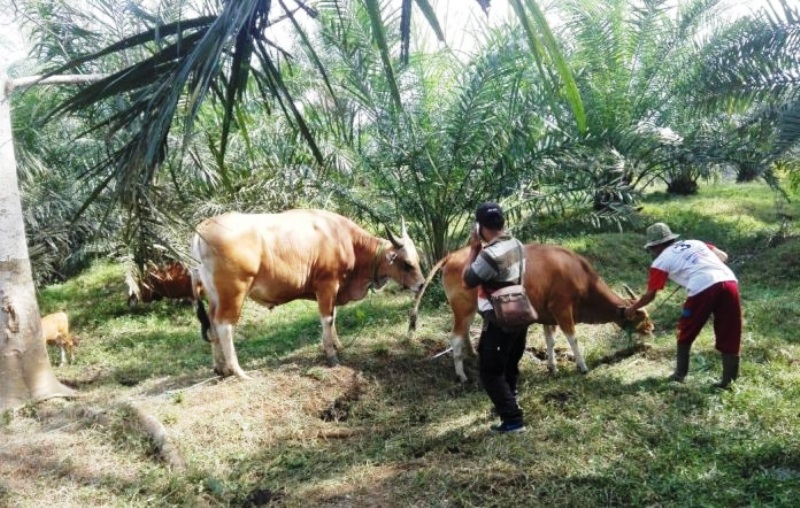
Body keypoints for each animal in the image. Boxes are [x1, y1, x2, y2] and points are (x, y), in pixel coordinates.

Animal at [191, 208, 428, 380]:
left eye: (418, 259)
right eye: (407, 264)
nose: (422, 284)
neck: (345, 239)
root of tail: (203, 228)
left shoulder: (333, 289)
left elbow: (333, 317)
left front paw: (338, 345)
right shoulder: (327, 285)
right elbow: (327, 319)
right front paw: (331, 355)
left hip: (214, 295)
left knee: (212, 323)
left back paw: (220, 368)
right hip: (234, 292)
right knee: (224, 325)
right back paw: (238, 371)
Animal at [410, 244, 652, 382]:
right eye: (640, 317)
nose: (652, 328)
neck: (580, 275)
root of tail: (452, 256)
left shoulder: (549, 315)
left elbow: (550, 340)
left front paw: (553, 367)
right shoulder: (562, 309)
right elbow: (572, 338)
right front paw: (582, 366)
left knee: (464, 335)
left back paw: (473, 357)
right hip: (463, 308)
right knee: (455, 337)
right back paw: (461, 375)